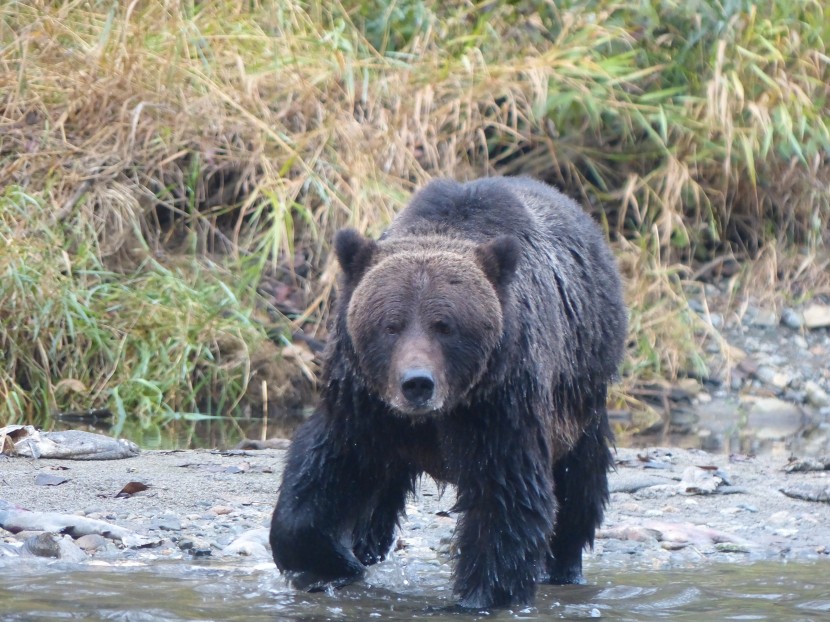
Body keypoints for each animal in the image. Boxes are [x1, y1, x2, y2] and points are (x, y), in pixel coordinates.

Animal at [270, 178, 628, 612]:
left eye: (445, 326)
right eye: (391, 325)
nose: (417, 383)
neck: (438, 415)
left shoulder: (500, 403)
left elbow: (504, 498)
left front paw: (480, 595)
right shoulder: (364, 403)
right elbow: (325, 469)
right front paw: (330, 563)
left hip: (580, 392)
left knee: (580, 482)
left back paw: (564, 566)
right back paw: (365, 545)